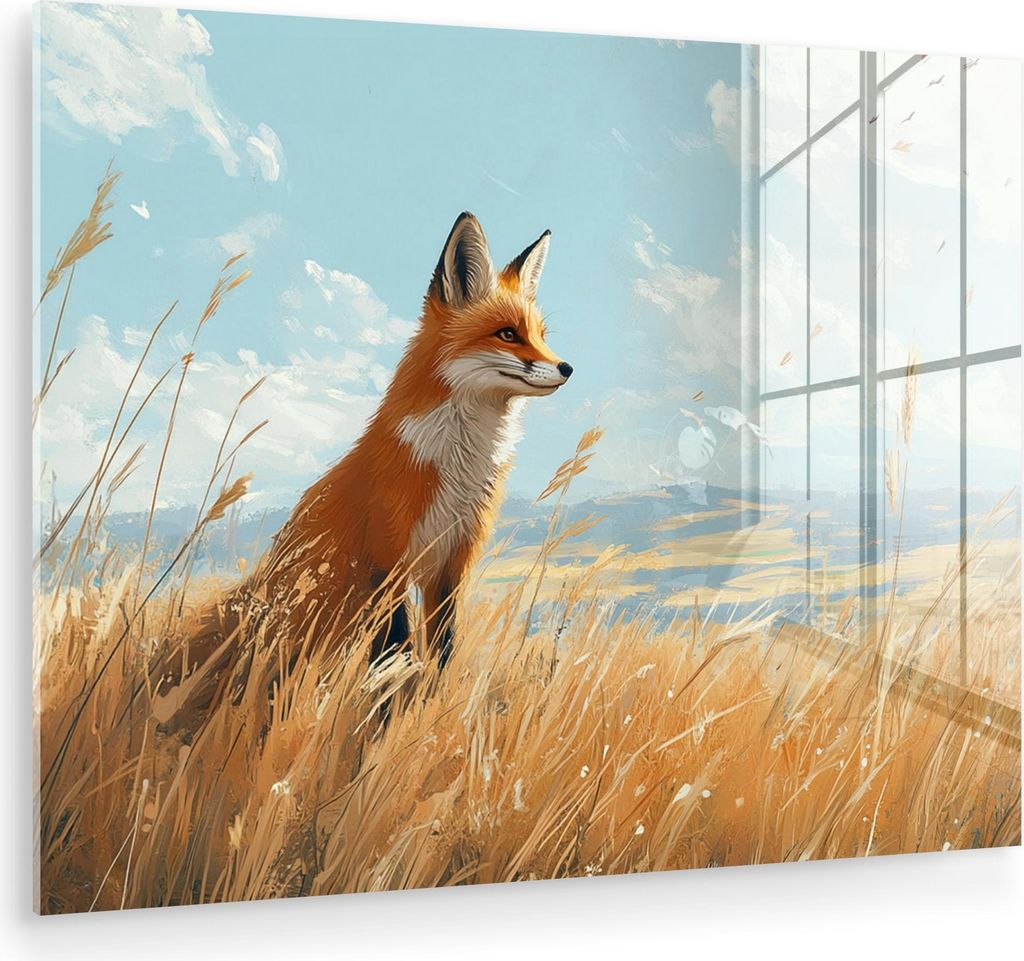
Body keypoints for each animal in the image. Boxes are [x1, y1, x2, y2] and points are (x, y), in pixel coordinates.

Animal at [154, 212, 571, 721]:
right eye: (508, 334)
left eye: (541, 336)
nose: (567, 368)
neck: (456, 467)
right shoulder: (386, 559)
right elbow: (395, 653)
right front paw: (389, 712)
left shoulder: (452, 562)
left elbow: (441, 651)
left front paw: (428, 708)